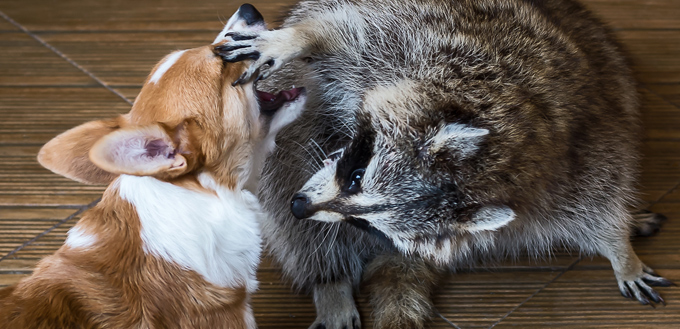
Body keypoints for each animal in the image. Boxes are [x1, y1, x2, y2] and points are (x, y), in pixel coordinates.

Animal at [215, 0, 672, 328]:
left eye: (367, 225)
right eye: (356, 174)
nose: (301, 206)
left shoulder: (573, 151)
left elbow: (599, 197)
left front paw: (620, 249)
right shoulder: (405, 36)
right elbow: (339, 35)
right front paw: (295, 40)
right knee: (287, 203)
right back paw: (329, 281)